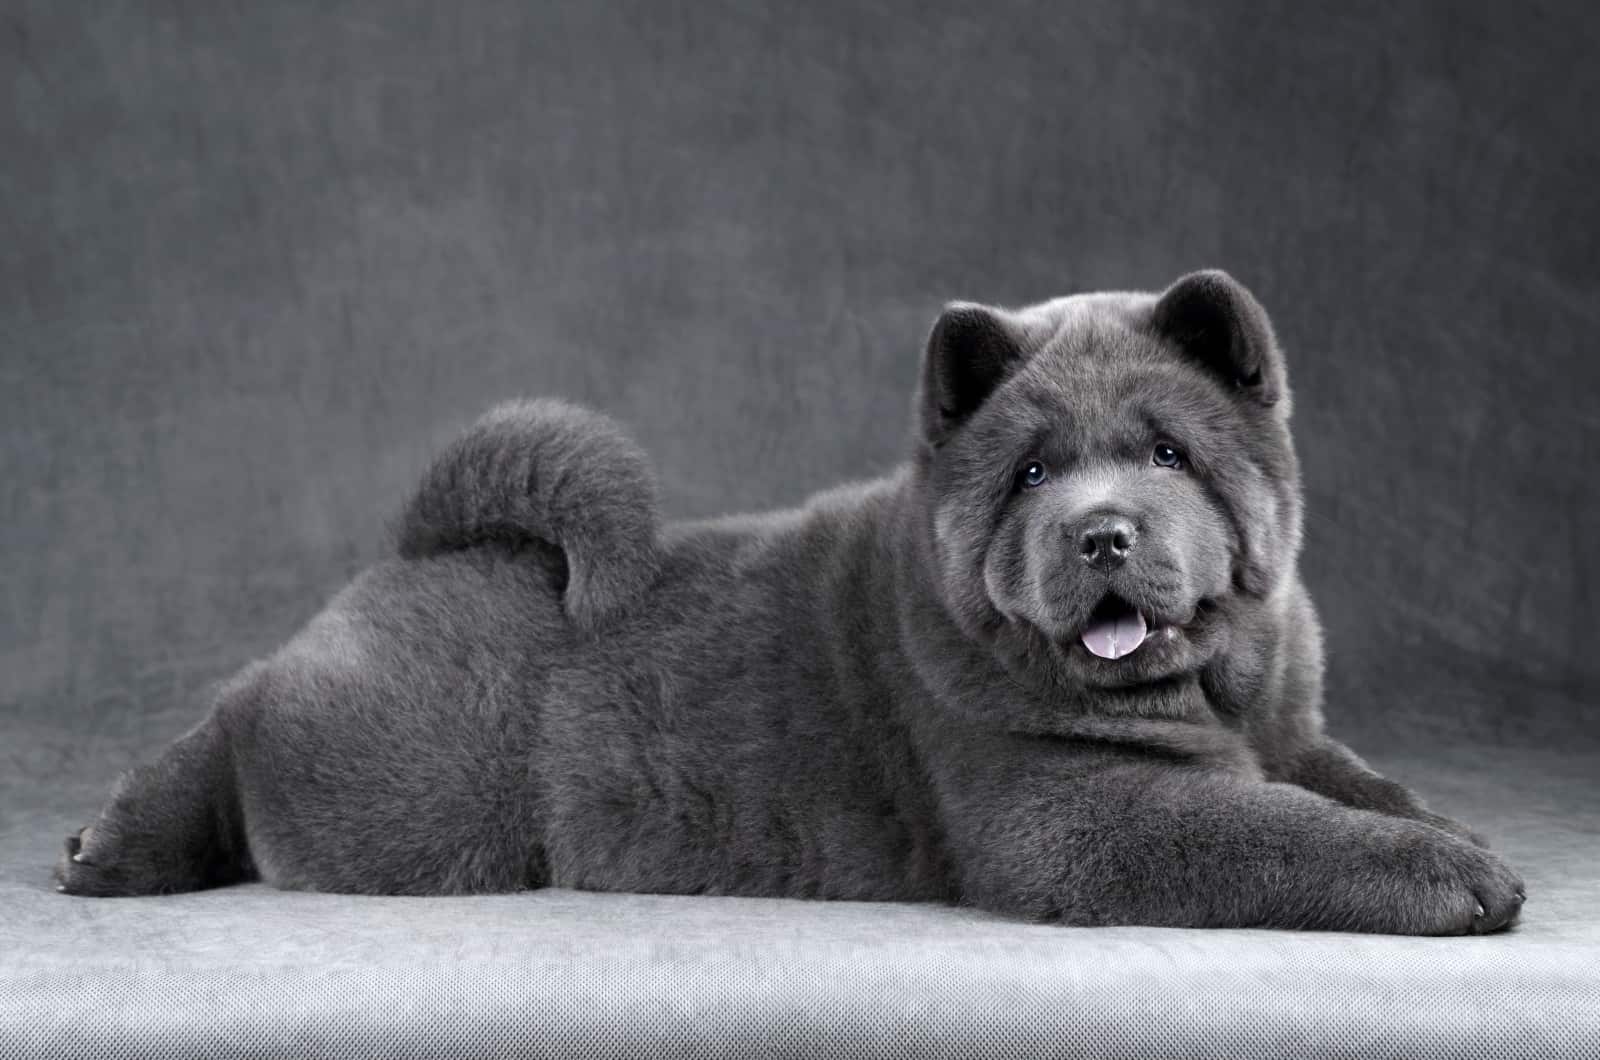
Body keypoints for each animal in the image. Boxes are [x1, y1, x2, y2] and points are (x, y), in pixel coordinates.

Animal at [53, 270, 1523, 935]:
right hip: (408, 797)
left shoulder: (1287, 721)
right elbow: (1275, 827)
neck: (1211, 685)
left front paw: (1443, 822)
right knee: (240, 729)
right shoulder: (1075, 811)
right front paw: (1458, 875)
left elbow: (1339, 780)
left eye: (1166, 452)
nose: (1099, 530)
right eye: (1033, 471)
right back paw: (108, 847)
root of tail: (427, 546)